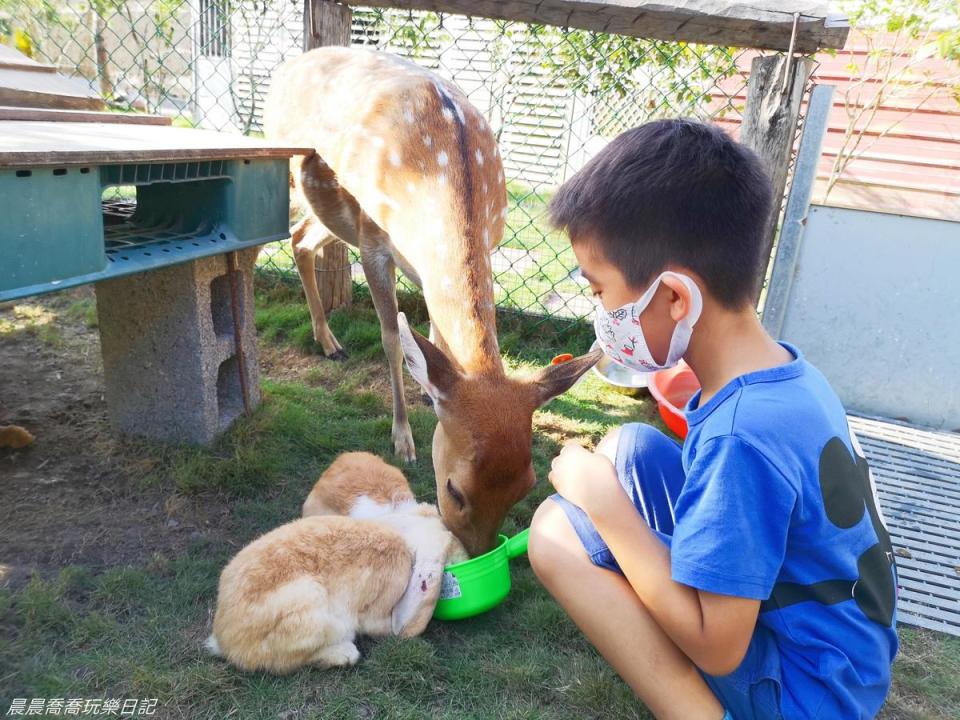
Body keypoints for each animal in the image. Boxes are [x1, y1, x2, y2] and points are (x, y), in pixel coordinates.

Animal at [264, 47, 600, 556]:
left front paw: (428, 392)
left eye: (526, 486)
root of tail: (292, 63)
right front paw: (403, 441)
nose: (477, 554)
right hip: (283, 171)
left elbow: (436, 338)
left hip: (327, 211)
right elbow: (390, 337)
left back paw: (330, 341)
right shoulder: (373, 241)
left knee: (301, 239)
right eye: (454, 489)